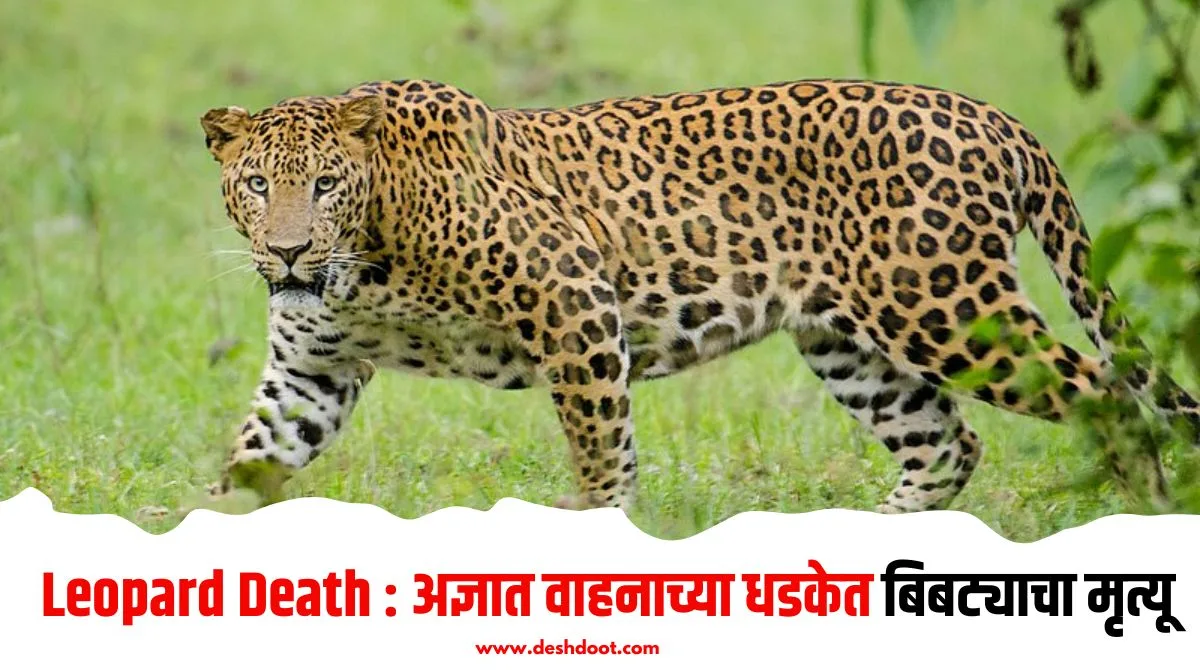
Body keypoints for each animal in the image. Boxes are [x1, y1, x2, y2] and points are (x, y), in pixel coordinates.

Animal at [200, 78, 1200, 514]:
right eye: (255, 185)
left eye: (325, 184)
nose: (287, 252)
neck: (365, 259)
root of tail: (994, 116)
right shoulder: (311, 374)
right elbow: (249, 460)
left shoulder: (575, 303)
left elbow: (601, 454)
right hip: (850, 343)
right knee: (947, 443)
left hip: (945, 307)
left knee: (1109, 397)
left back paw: (1146, 513)